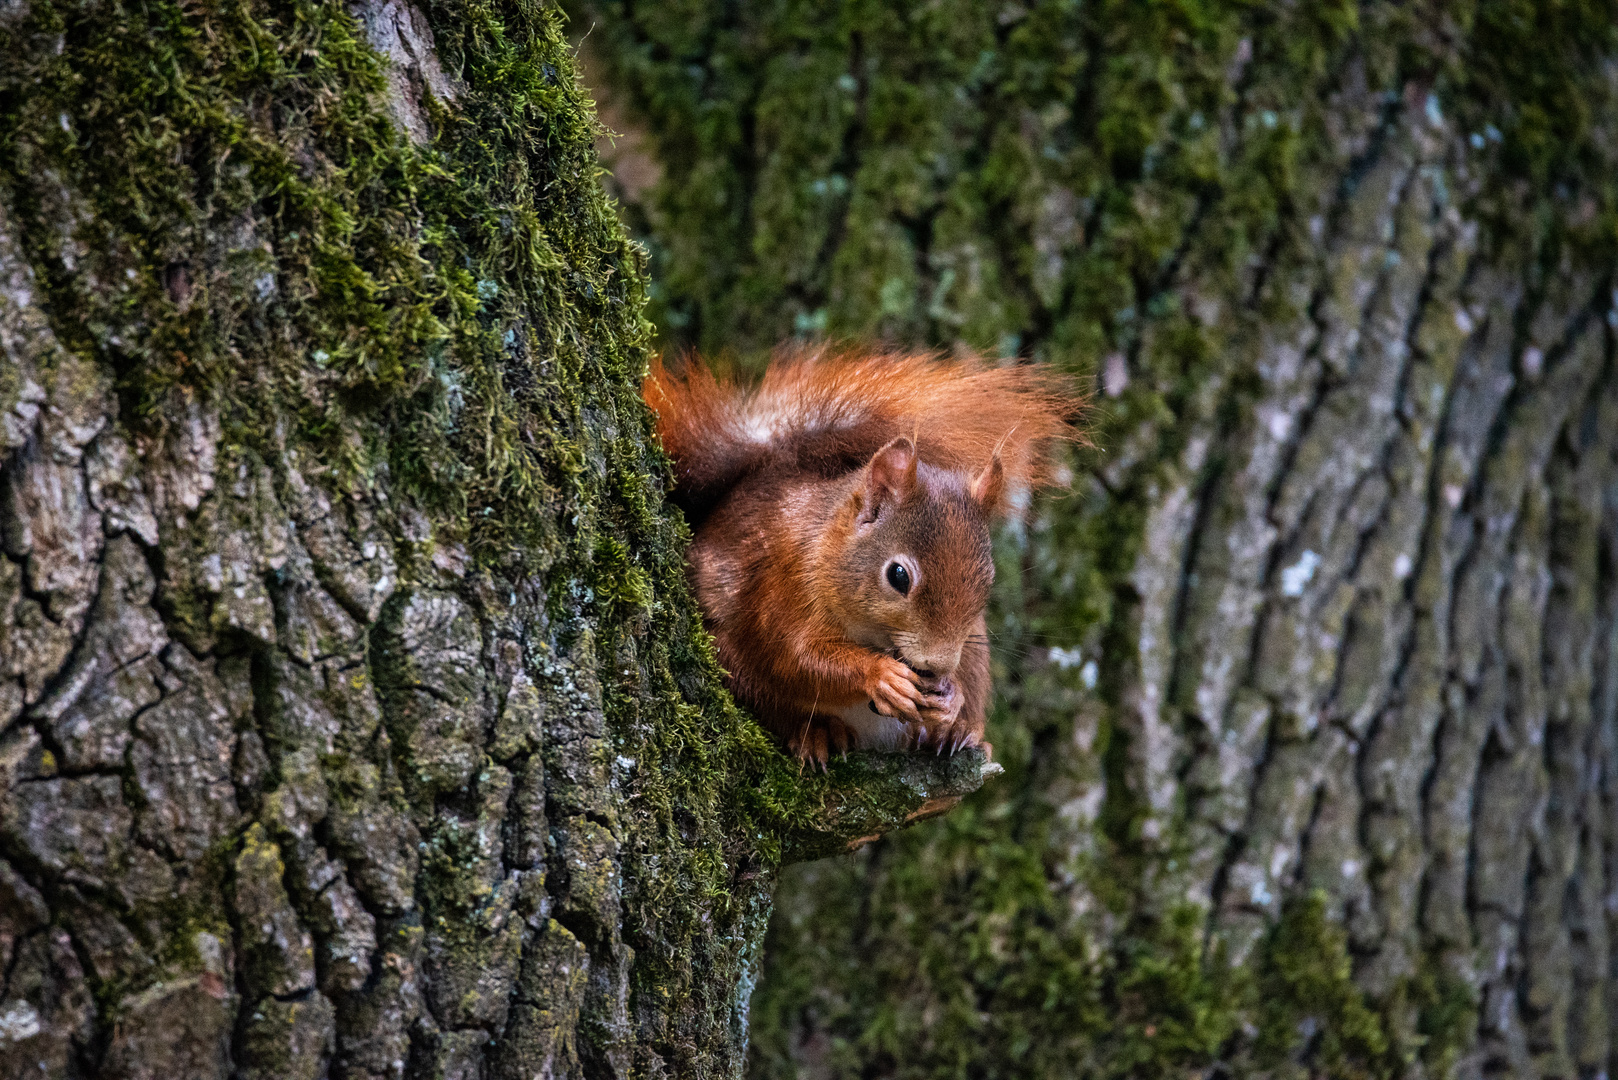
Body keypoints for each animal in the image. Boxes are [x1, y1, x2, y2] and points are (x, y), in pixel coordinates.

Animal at [637, 346, 1080, 767]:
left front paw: (951, 700)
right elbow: (796, 658)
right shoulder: (782, 588)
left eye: (987, 580)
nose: (937, 666)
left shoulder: (969, 643)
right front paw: (881, 676)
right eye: (898, 576)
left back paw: (955, 732)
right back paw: (818, 732)